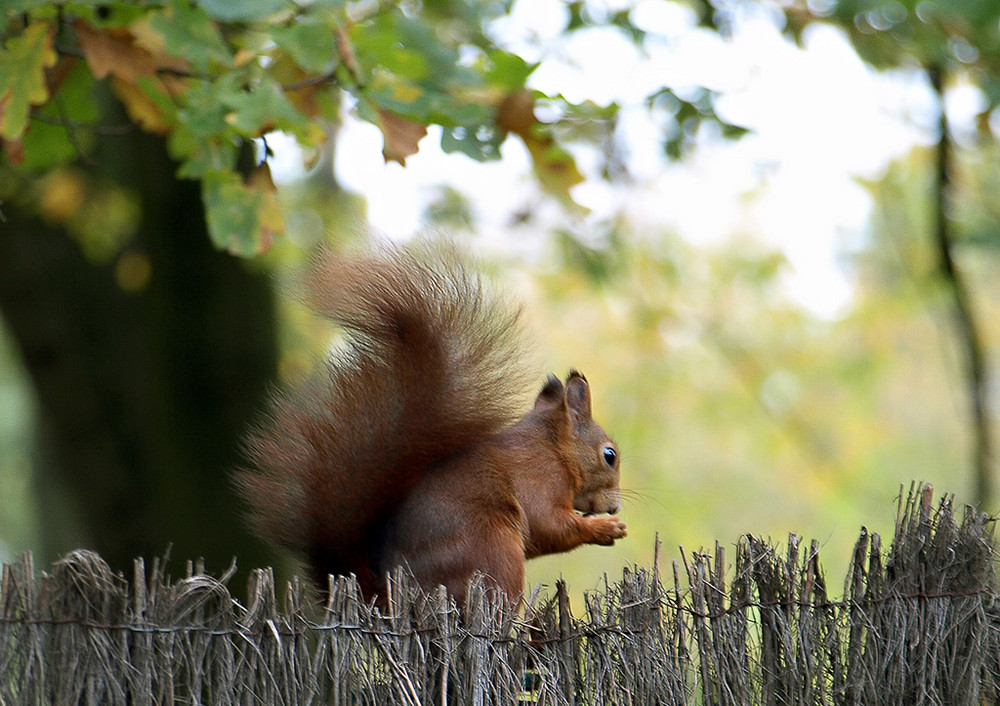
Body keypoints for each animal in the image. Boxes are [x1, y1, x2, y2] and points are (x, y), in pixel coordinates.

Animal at [237, 245, 624, 604]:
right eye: (610, 455)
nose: (617, 507)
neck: (554, 448)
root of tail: (385, 594)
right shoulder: (539, 480)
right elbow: (551, 526)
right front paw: (606, 528)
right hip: (493, 550)